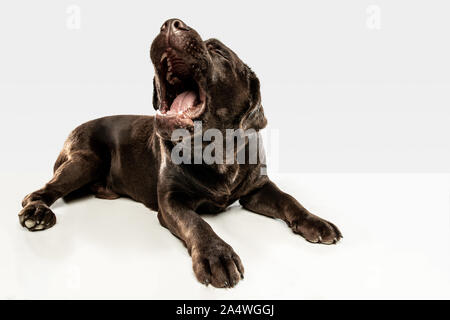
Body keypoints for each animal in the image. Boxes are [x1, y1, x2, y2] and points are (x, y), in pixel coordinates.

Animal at [17, 18, 342, 288]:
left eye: (219, 52)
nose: (170, 24)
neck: (217, 151)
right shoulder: (171, 200)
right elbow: (197, 223)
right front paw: (216, 255)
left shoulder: (258, 188)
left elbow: (290, 200)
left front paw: (316, 221)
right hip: (85, 160)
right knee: (41, 191)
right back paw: (37, 213)